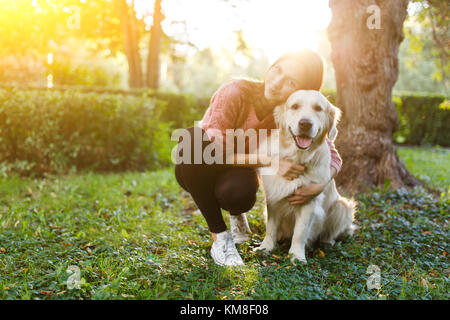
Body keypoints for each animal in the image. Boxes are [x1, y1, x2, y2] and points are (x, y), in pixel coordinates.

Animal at [255, 90, 356, 264]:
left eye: (318, 108)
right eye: (295, 106)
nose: (305, 124)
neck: (297, 158)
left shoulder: (308, 200)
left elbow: (300, 232)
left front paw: (296, 256)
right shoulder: (273, 197)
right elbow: (271, 227)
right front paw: (266, 247)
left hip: (342, 206)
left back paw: (328, 242)